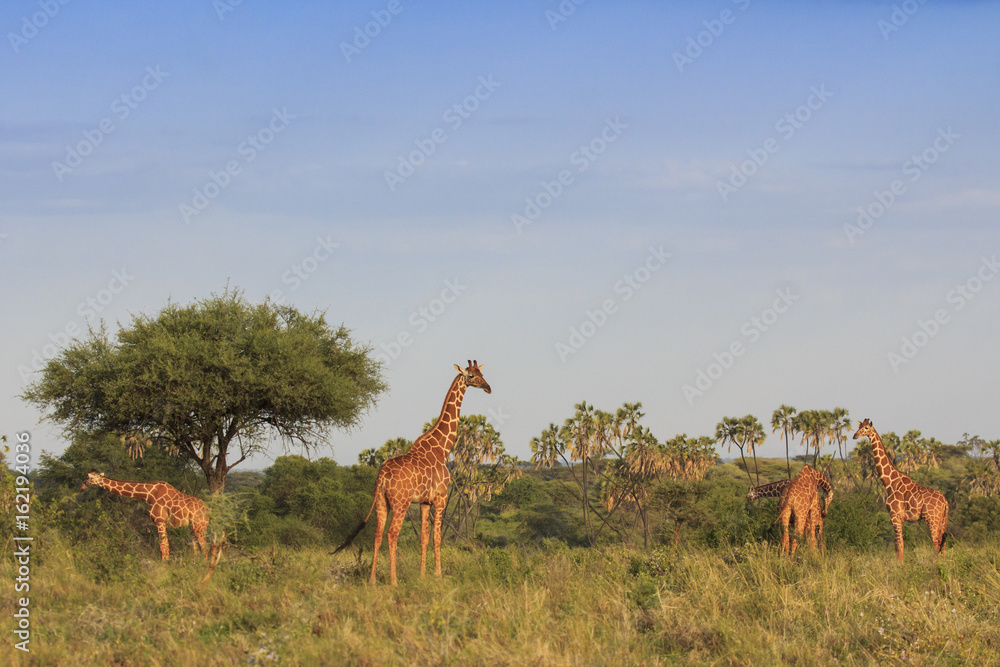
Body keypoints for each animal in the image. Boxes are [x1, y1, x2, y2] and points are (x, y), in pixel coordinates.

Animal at [80, 471, 209, 560]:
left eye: (87, 477)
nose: (81, 487)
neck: (148, 495)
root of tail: (208, 510)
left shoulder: (159, 521)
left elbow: (163, 547)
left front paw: (164, 567)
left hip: (199, 527)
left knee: (205, 547)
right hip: (192, 528)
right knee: (197, 549)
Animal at [334, 360, 491, 586]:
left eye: (482, 373)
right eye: (470, 375)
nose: (488, 387)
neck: (442, 448)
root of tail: (382, 477)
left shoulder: (424, 501)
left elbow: (424, 538)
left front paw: (423, 575)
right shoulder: (441, 497)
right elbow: (437, 537)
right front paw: (438, 575)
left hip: (381, 501)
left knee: (377, 534)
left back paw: (372, 580)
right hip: (401, 503)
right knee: (391, 534)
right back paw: (394, 581)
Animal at [853, 418, 949, 562]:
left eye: (866, 428)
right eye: (859, 427)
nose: (855, 436)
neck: (890, 483)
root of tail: (945, 502)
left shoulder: (895, 515)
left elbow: (898, 545)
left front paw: (900, 565)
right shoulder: (900, 518)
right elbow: (900, 544)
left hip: (932, 519)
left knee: (937, 542)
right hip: (942, 520)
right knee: (942, 543)